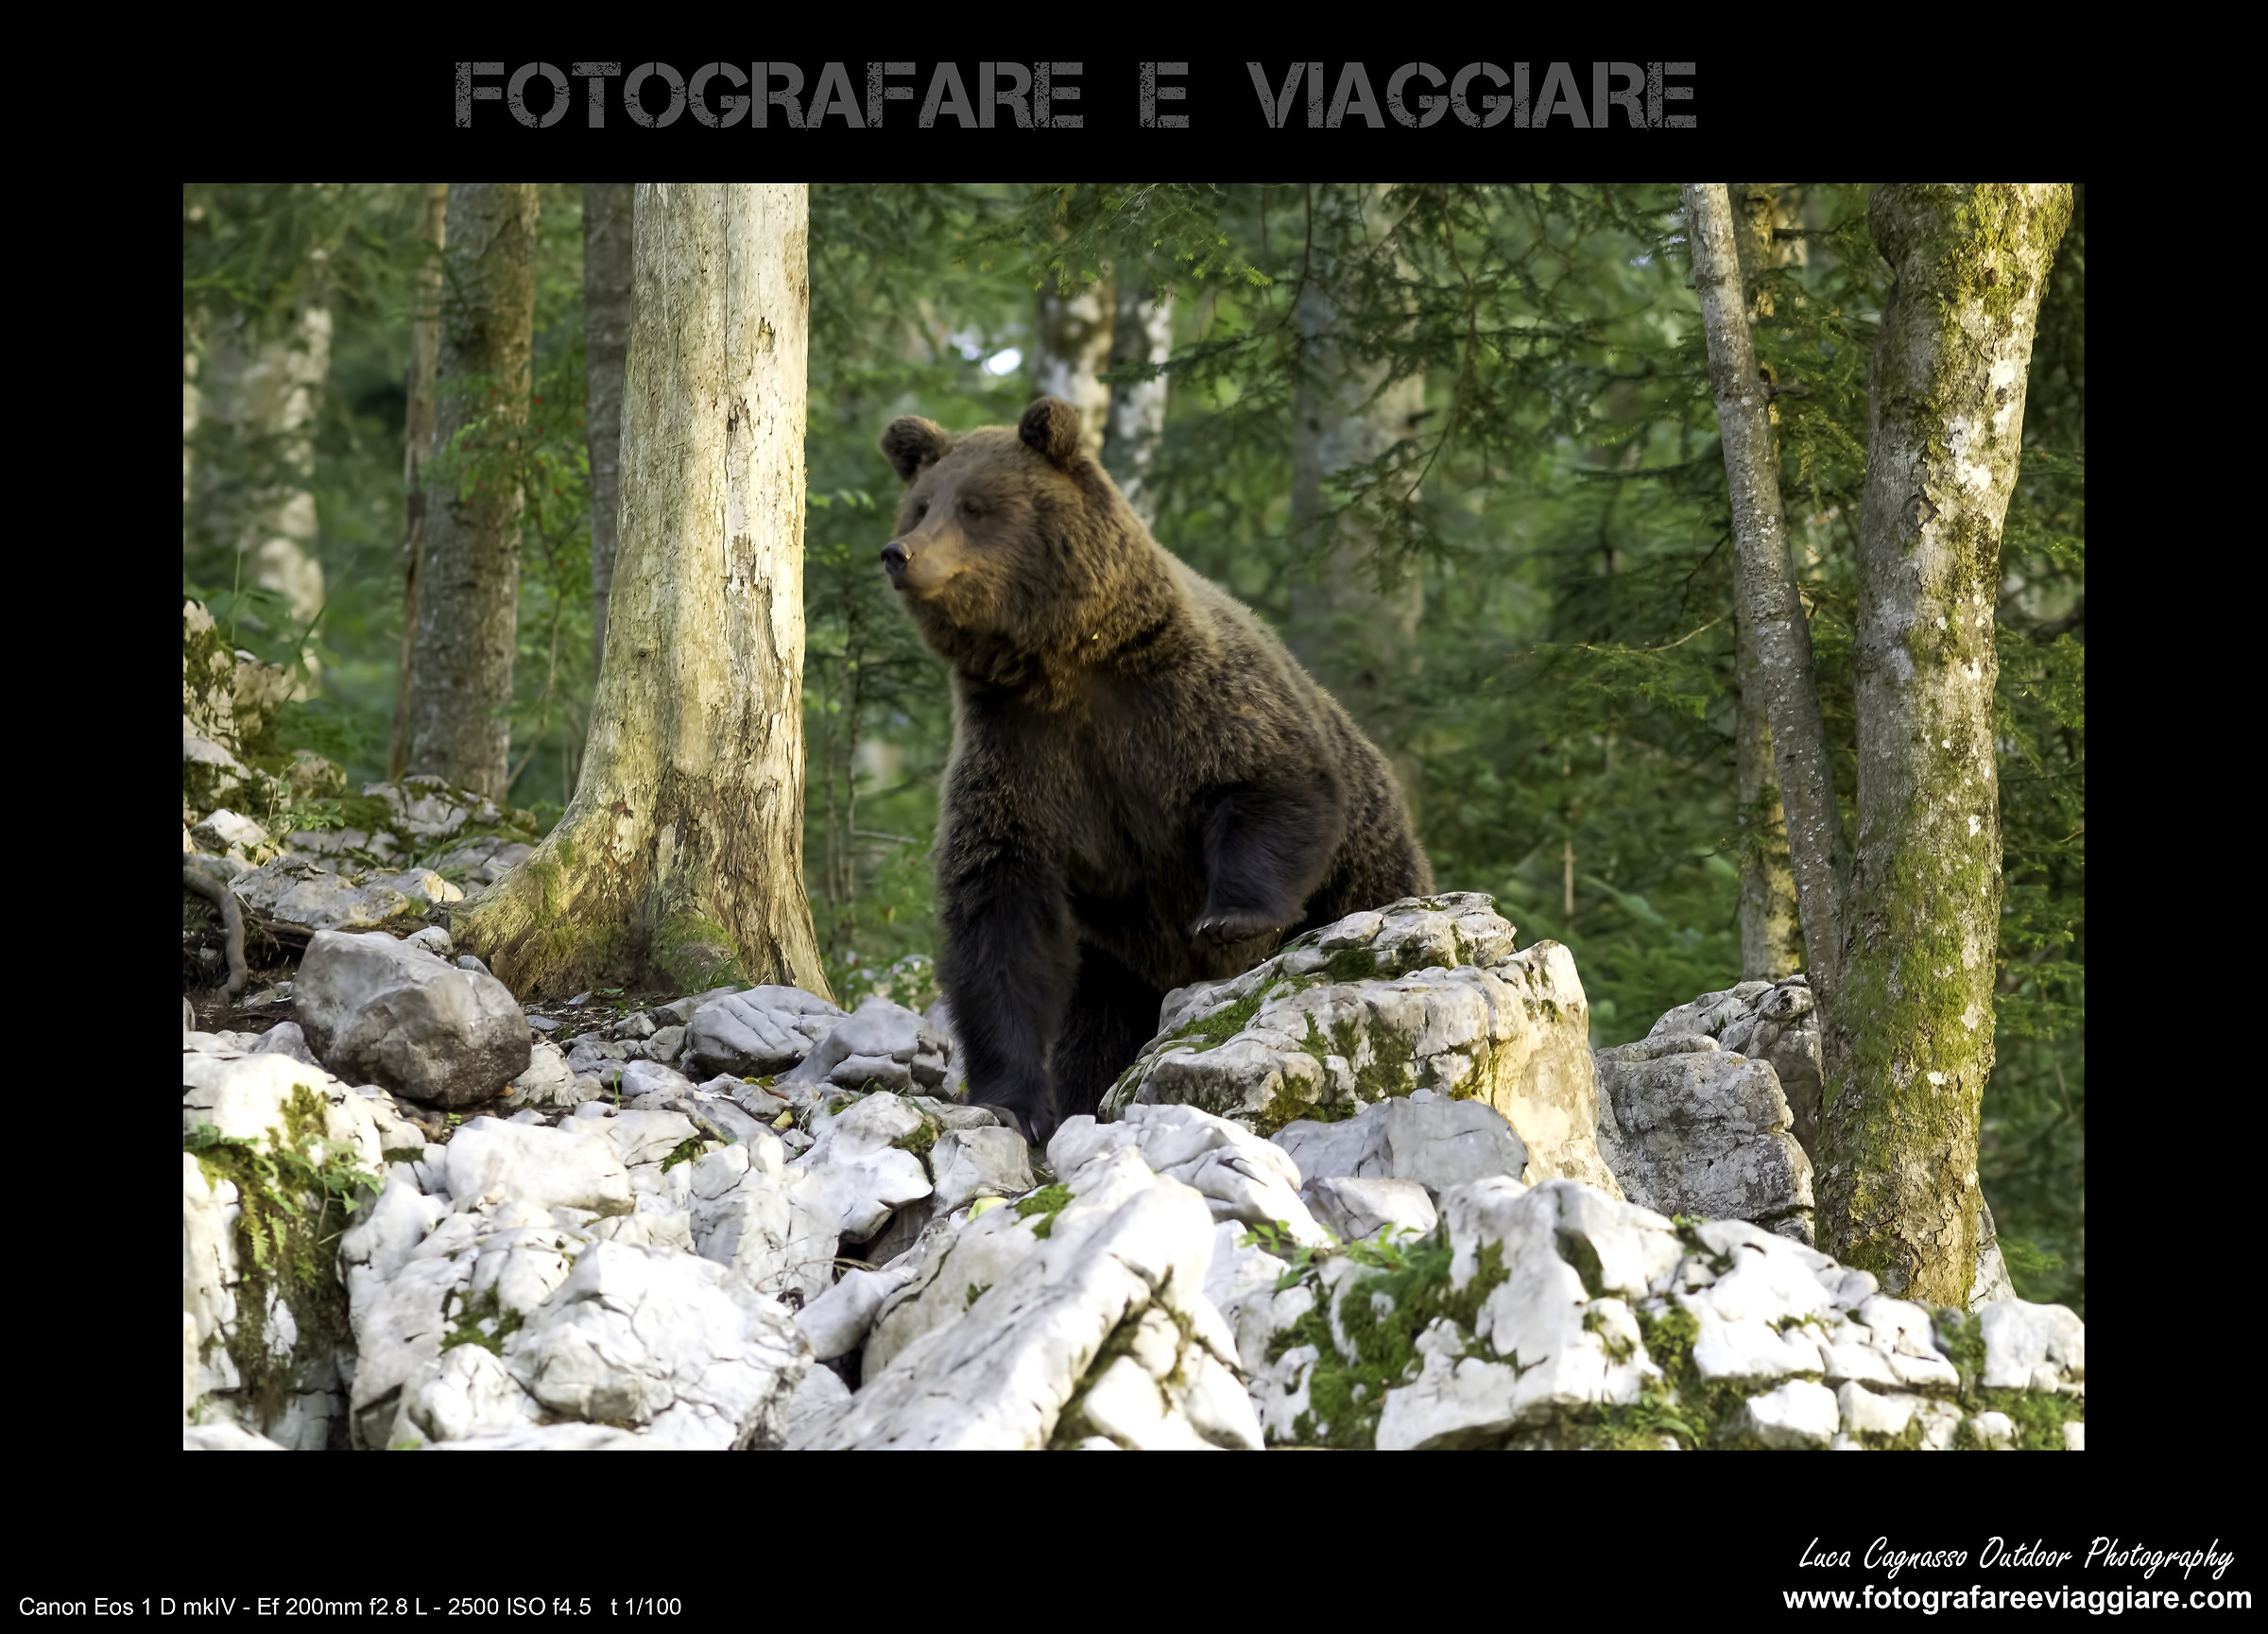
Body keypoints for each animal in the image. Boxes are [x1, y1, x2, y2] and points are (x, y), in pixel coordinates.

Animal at [879, 396, 1431, 1143]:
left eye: (974, 506)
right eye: (919, 505)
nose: (900, 553)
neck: (1062, 662)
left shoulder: (1180, 698)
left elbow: (1271, 781)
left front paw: (1229, 918)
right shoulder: (1018, 751)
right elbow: (1001, 915)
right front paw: (1012, 1101)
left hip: (1366, 873)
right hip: (1115, 966)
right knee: (1093, 1030)